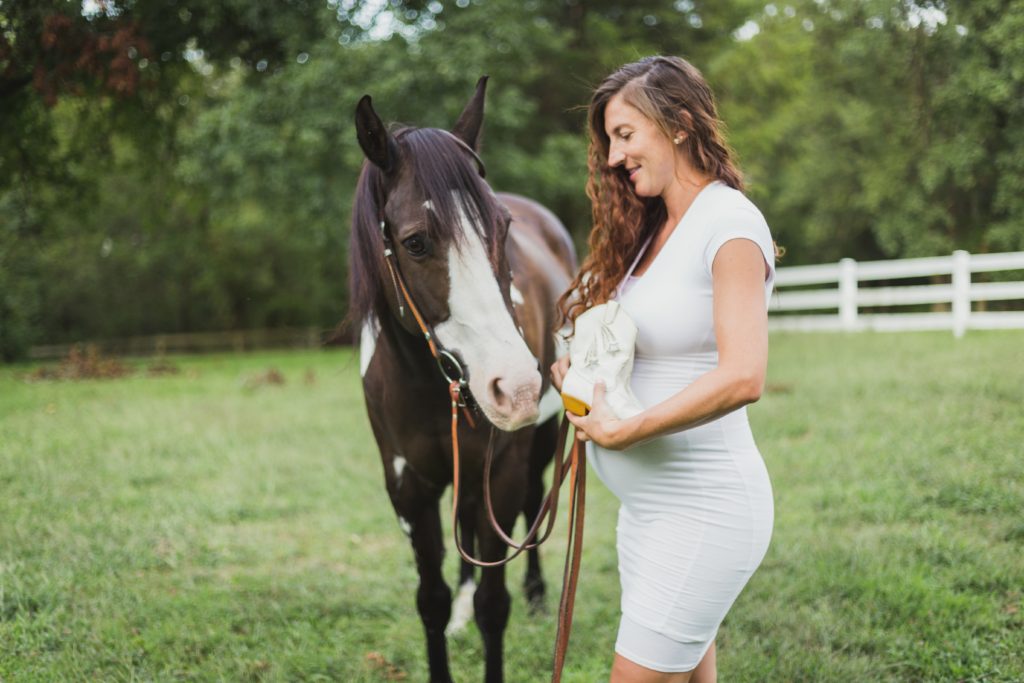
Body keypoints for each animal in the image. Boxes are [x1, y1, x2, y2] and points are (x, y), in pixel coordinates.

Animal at [350, 76, 577, 683]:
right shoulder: (408, 489)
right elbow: (430, 599)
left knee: (533, 506)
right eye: (414, 242)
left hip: (539, 445)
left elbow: (495, 605)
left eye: (503, 227)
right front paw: (448, 614)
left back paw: (539, 595)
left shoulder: (501, 472)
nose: (516, 386)